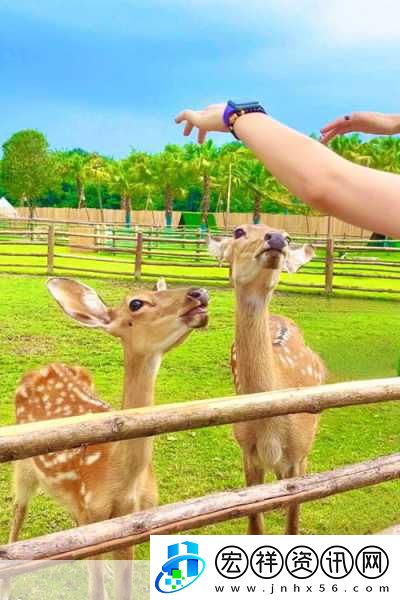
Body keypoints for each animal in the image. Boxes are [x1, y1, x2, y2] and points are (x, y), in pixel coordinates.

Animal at [2, 276, 209, 600]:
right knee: (16, 516)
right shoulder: (94, 515)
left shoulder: (133, 522)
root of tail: (40, 367)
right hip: (24, 468)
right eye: (136, 303)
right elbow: (96, 589)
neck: (121, 479)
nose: (199, 293)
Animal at [208, 224, 326, 536]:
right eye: (238, 231)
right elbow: (254, 526)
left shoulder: (298, 454)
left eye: (289, 235)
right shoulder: (246, 452)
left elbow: (293, 526)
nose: (277, 238)